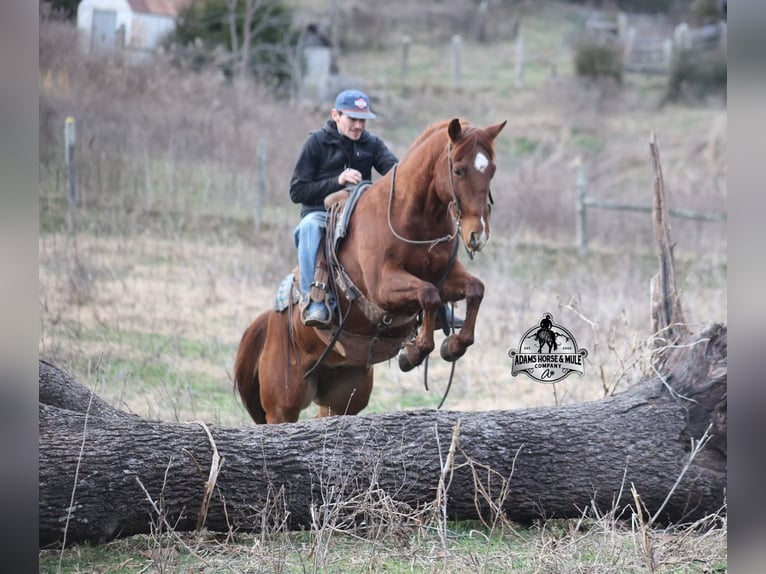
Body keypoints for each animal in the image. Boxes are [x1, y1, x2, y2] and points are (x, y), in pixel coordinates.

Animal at [234, 118, 506, 424]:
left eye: (491, 170)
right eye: (458, 169)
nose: (477, 235)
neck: (415, 219)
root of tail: (270, 319)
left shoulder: (446, 277)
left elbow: (475, 289)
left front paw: (453, 345)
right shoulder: (382, 286)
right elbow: (429, 295)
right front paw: (413, 353)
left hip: (344, 398)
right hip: (282, 405)